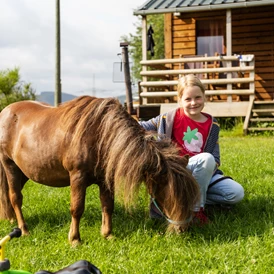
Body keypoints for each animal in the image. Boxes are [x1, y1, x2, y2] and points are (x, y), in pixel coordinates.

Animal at [0, 95, 199, 245]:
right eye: (168, 191)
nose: (182, 229)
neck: (101, 135)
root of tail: (6, 112)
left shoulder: (105, 180)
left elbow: (107, 205)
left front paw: (108, 234)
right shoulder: (77, 177)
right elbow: (77, 208)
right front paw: (75, 239)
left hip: (24, 172)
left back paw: (11, 219)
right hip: (10, 165)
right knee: (15, 197)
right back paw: (24, 229)